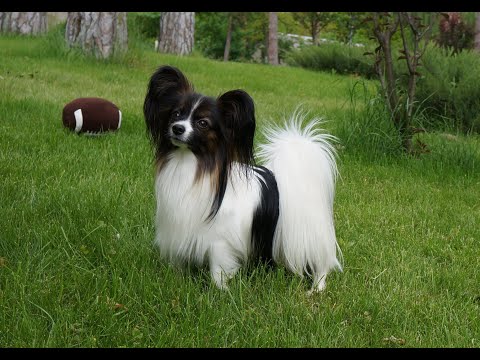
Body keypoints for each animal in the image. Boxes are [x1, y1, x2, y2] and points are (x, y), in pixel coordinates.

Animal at [142, 66, 342, 294]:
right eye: (176, 114)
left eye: (203, 123)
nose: (177, 128)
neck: (192, 164)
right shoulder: (179, 230)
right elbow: (178, 264)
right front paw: (176, 281)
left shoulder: (220, 243)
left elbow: (218, 271)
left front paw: (219, 292)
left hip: (308, 237)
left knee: (322, 265)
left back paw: (316, 289)